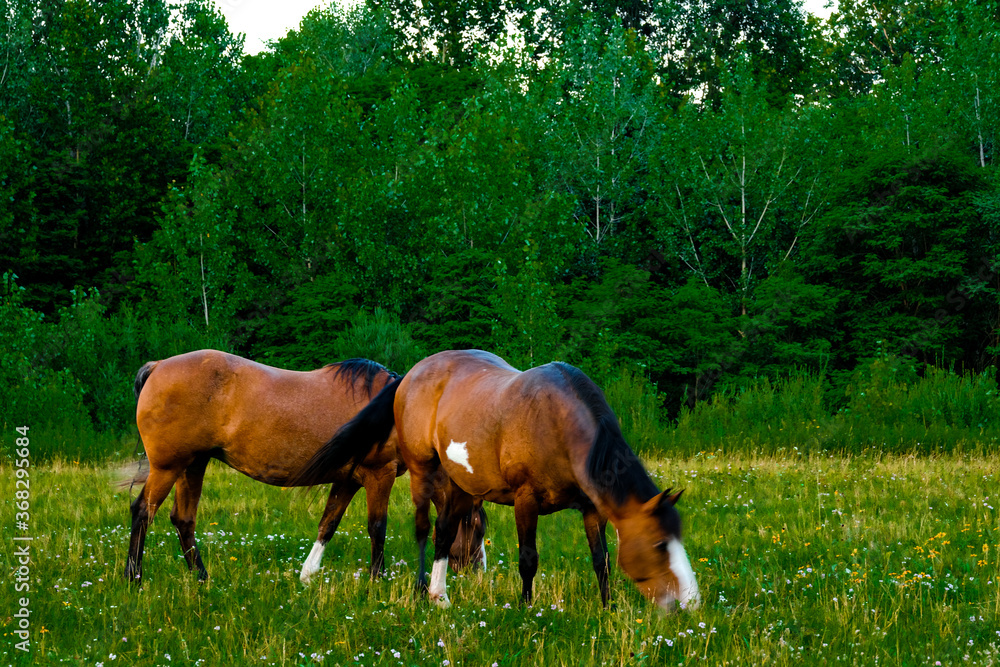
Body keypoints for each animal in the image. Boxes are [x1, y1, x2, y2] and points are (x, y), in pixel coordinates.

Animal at [125, 349, 486, 584]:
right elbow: (377, 528)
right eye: (476, 527)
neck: (398, 410)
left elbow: (328, 524)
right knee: (143, 511)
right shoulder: (378, 475)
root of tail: (158, 366)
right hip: (168, 466)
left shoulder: (348, 480)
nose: (476, 572)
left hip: (193, 464)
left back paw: (201, 577)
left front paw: (307, 575)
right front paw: (376, 579)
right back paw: (134, 576)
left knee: (183, 519)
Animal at [289, 349, 700, 610]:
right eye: (659, 544)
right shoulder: (525, 500)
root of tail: (411, 374)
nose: (692, 602)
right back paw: (421, 590)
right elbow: (528, 558)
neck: (560, 424)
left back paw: (440, 596)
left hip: (458, 485)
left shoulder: (590, 508)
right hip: (422, 473)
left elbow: (602, 560)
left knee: (444, 532)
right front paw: (526, 609)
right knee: (423, 529)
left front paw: (608, 608)